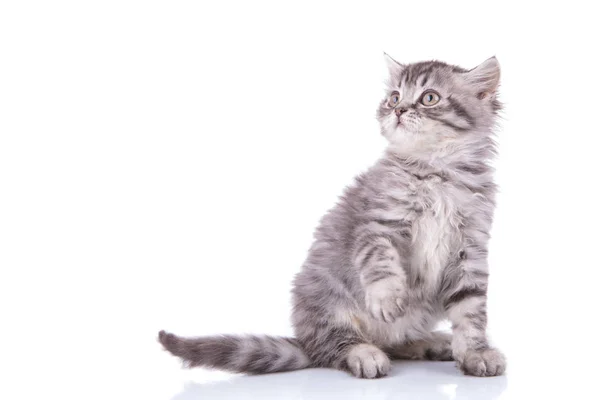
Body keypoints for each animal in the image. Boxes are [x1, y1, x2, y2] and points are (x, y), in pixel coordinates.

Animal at [158, 55, 506, 378]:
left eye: (429, 97)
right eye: (394, 97)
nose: (398, 111)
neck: (437, 173)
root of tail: (305, 340)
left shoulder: (470, 248)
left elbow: (471, 310)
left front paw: (476, 353)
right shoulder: (377, 224)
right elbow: (381, 264)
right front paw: (387, 299)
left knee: (395, 342)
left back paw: (432, 343)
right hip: (326, 296)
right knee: (335, 346)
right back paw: (365, 354)